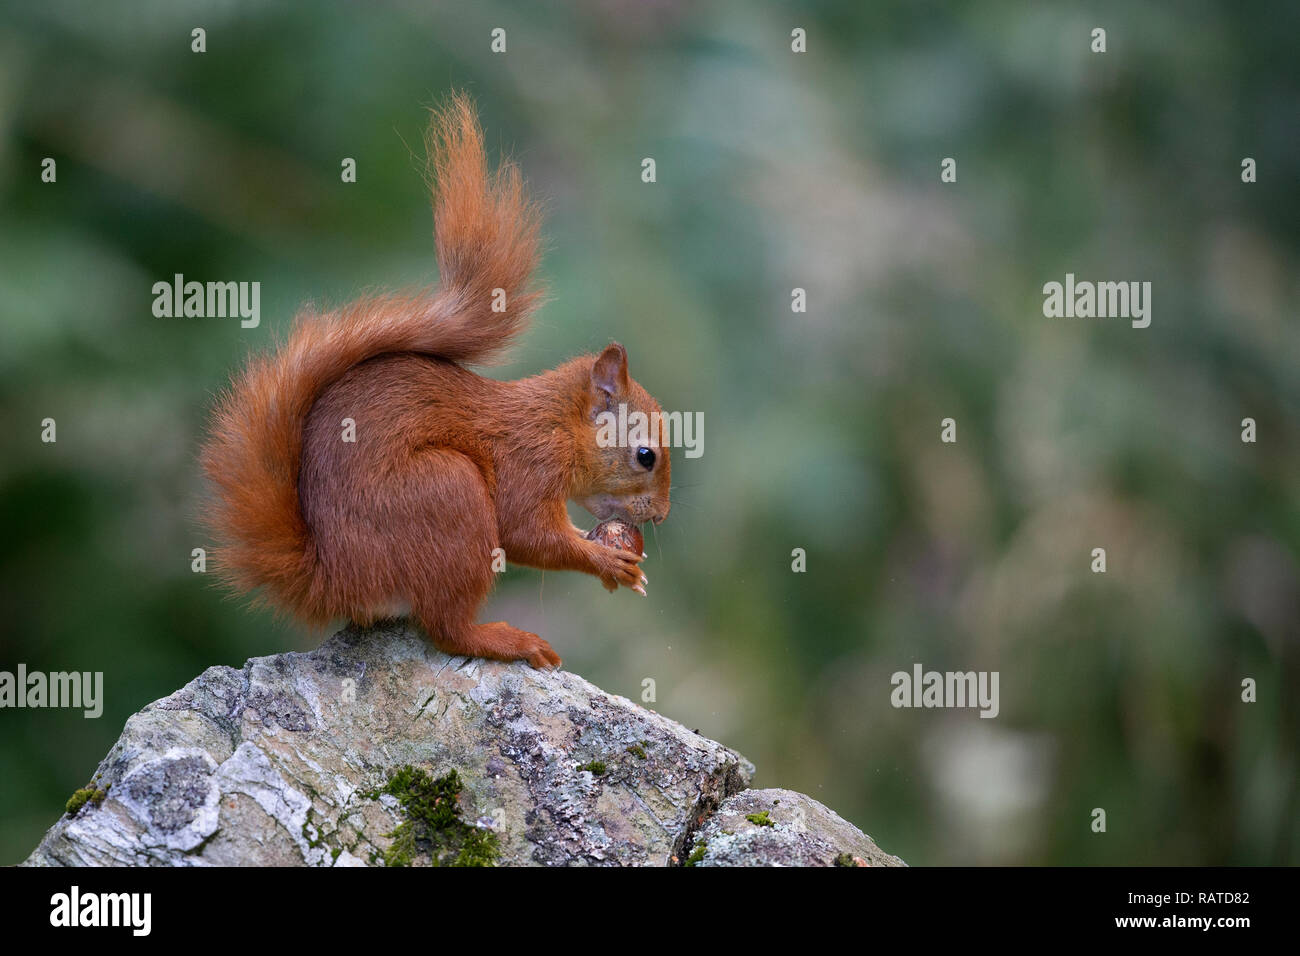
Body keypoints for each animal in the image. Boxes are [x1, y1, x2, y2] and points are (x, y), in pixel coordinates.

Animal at [200, 94, 671, 669]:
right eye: (645, 456)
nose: (661, 517)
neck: (556, 423)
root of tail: (332, 580)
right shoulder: (527, 464)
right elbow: (528, 534)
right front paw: (605, 561)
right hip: (449, 495)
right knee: (446, 628)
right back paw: (508, 640)